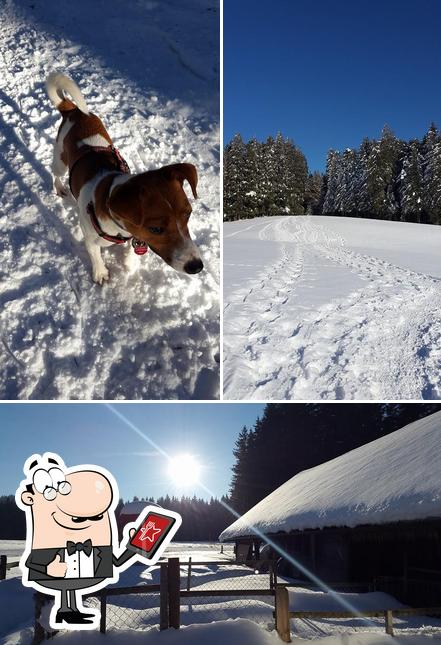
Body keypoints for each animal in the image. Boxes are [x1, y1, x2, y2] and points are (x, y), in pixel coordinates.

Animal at [44, 71, 203, 284]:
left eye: (188, 214)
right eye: (156, 229)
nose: (197, 266)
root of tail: (73, 110)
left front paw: (130, 262)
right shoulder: (89, 237)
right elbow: (95, 255)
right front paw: (100, 273)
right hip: (60, 160)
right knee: (55, 172)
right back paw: (60, 187)